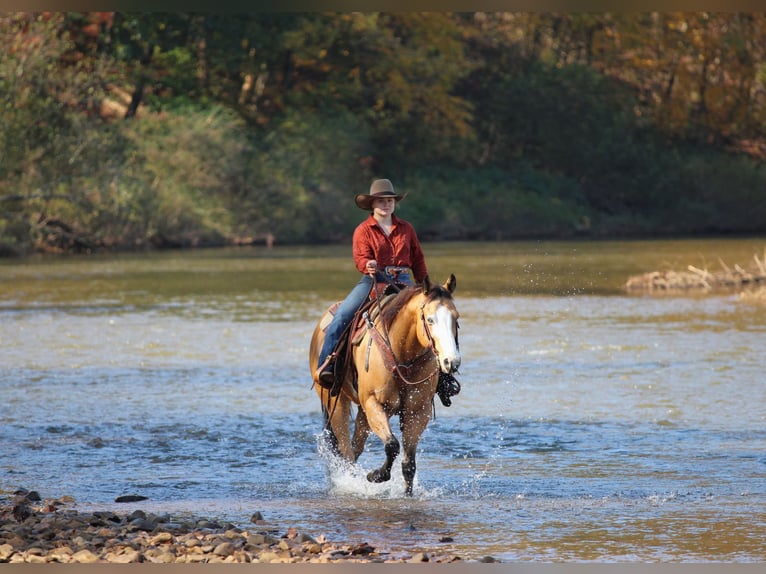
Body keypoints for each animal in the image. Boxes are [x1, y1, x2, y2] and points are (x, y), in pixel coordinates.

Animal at [308, 274, 461, 496]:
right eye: (430, 319)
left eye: (456, 319)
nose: (452, 361)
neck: (401, 354)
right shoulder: (375, 404)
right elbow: (392, 445)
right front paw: (376, 476)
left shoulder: (417, 412)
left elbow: (409, 463)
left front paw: (407, 494)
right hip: (336, 403)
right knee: (346, 450)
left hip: (363, 412)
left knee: (355, 448)